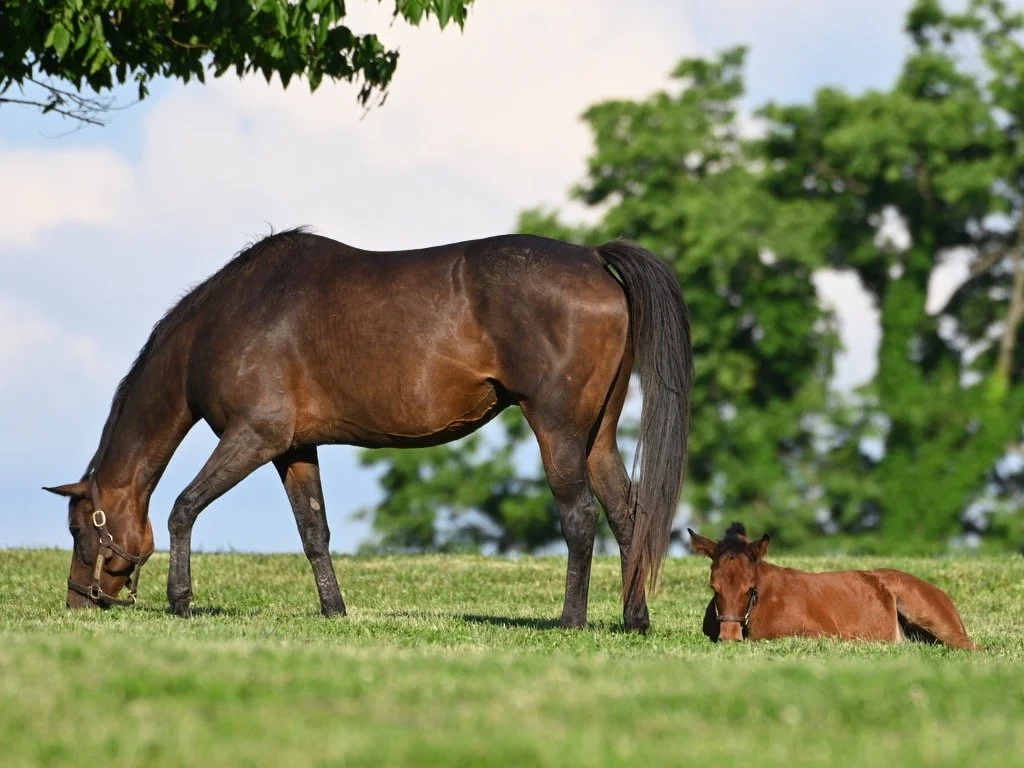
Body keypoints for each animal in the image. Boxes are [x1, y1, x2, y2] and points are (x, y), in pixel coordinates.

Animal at [44, 229, 693, 632]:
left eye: (80, 528)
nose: (78, 603)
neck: (223, 323)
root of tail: (590, 257)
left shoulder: (253, 438)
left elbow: (182, 507)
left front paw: (180, 602)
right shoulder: (295, 450)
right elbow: (314, 532)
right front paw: (335, 611)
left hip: (557, 431)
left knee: (579, 516)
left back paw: (571, 621)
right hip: (597, 437)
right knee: (626, 516)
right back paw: (634, 621)